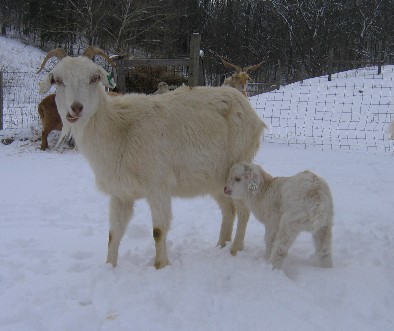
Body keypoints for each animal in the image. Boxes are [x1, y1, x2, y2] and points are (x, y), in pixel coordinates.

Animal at [37, 46, 266, 270]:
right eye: (57, 80)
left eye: (94, 78)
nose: (76, 108)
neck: (119, 130)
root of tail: (249, 108)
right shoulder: (120, 193)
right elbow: (113, 234)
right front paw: (109, 267)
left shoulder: (158, 185)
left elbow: (158, 231)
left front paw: (160, 266)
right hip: (216, 179)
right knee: (228, 210)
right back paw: (221, 245)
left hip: (238, 165)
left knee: (243, 211)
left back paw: (235, 250)